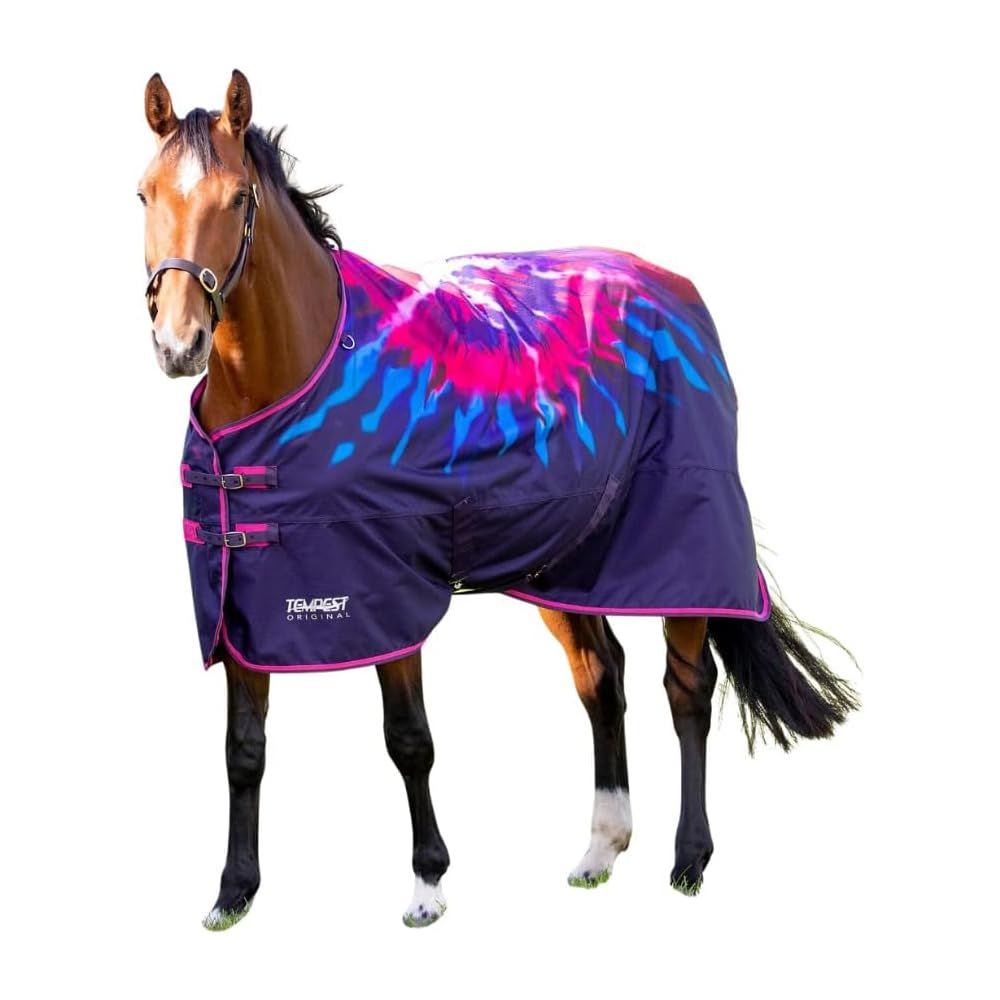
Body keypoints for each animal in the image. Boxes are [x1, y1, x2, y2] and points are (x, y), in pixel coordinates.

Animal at [139, 70, 859, 930]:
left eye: (239, 197)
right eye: (143, 193)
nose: (179, 344)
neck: (299, 376)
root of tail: (676, 291)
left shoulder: (388, 597)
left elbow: (408, 739)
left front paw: (427, 884)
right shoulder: (246, 601)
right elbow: (243, 750)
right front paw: (233, 892)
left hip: (683, 552)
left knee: (687, 690)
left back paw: (689, 860)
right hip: (571, 562)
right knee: (602, 678)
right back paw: (601, 847)